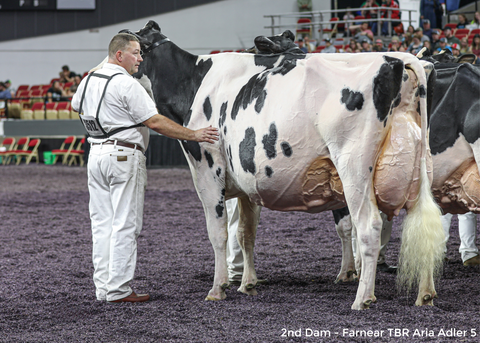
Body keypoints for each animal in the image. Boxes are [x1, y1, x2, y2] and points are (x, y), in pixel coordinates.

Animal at [122, 21, 444, 312]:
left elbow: (218, 233)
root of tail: (398, 59)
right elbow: (246, 234)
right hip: (420, 168)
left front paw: (218, 288)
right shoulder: (246, 184)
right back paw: (425, 294)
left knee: (369, 226)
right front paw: (247, 284)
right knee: (424, 224)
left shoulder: (207, 169)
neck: (194, 82)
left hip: (354, 168)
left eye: (138, 49)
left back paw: (362, 298)